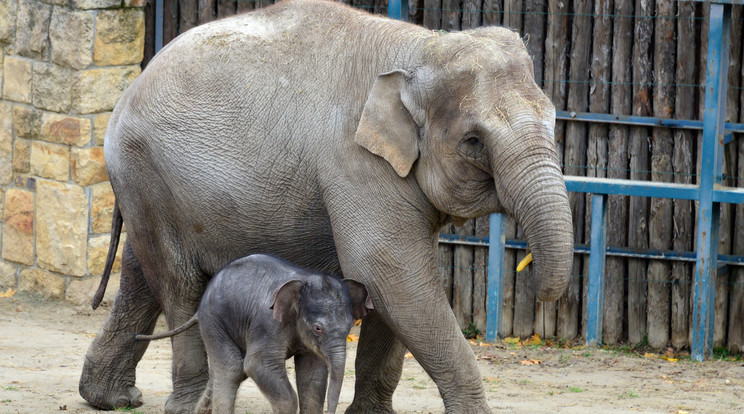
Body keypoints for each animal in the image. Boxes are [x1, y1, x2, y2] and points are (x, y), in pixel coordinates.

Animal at [135, 252, 372, 414]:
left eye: (351, 325)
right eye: (318, 328)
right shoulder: (267, 324)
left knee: (230, 371)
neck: (303, 280)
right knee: (232, 368)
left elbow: (312, 376)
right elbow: (258, 364)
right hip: (214, 322)